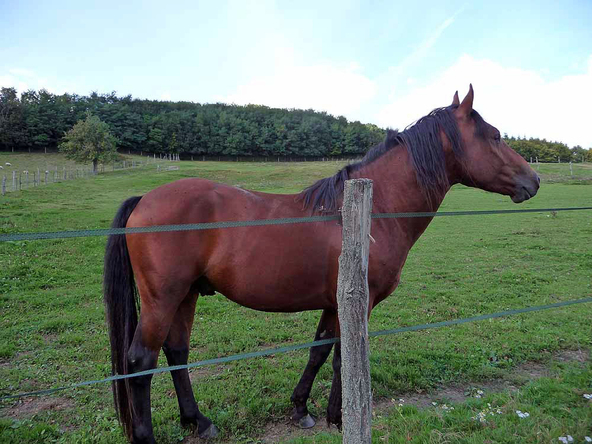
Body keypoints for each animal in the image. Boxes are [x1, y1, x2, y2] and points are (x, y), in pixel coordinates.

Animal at [104, 85, 540, 442]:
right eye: (495, 135)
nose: (533, 180)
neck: (372, 211)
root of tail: (144, 200)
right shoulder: (360, 301)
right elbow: (344, 357)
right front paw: (340, 416)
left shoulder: (334, 303)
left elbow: (320, 351)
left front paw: (302, 409)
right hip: (163, 298)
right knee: (140, 361)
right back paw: (148, 436)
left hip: (187, 295)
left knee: (177, 353)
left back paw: (199, 421)